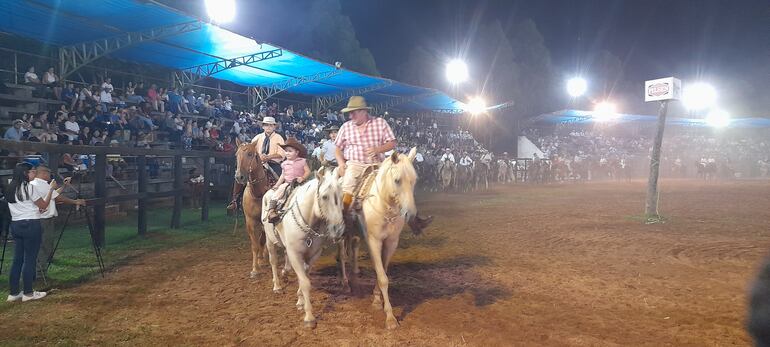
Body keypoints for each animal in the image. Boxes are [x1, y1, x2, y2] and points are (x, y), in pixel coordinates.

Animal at [234, 138, 270, 278]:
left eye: (250, 154)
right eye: (236, 155)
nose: (239, 177)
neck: (258, 193)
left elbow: (263, 240)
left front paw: (262, 260)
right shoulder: (250, 222)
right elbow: (255, 245)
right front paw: (255, 269)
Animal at [260, 168, 342, 328]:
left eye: (341, 196)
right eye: (324, 197)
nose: (338, 228)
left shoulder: (313, 255)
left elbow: (304, 276)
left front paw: (300, 301)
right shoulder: (295, 254)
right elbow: (305, 282)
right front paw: (309, 317)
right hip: (269, 241)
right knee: (273, 262)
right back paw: (277, 286)